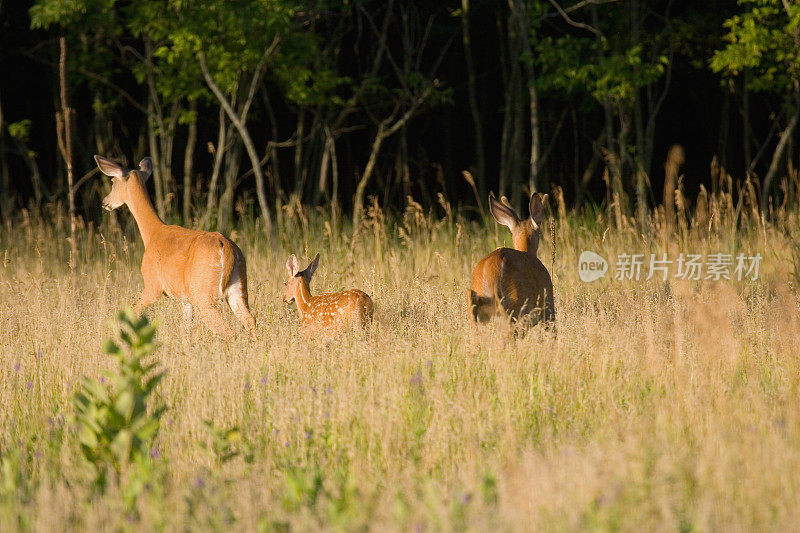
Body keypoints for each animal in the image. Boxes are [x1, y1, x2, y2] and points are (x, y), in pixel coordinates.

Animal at [93, 154, 256, 336]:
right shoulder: (185, 300)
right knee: (250, 320)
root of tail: (226, 247)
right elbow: (186, 331)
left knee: (227, 331)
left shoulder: (152, 284)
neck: (153, 234)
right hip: (238, 288)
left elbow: (134, 311)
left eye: (113, 181)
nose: (104, 202)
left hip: (202, 294)